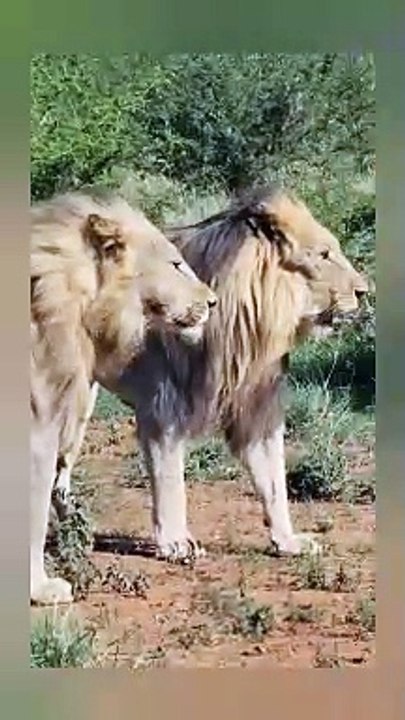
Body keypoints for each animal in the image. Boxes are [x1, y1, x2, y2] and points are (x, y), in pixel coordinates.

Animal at [53, 185, 369, 563]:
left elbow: (274, 481)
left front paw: (288, 541)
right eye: (324, 254)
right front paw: (175, 543)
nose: (365, 291)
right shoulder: (163, 406)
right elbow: (171, 480)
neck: (253, 326)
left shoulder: (257, 406)